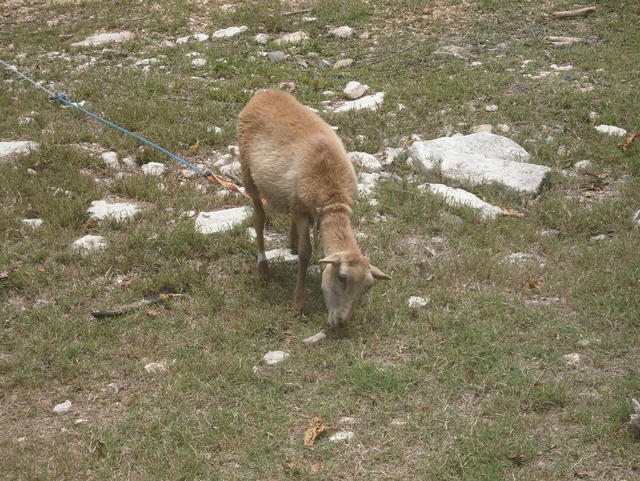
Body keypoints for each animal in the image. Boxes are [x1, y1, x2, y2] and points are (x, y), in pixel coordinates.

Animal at [237, 89, 391, 328]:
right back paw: (263, 269)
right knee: (259, 218)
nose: (342, 323)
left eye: (367, 288)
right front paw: (299, 303)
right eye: (342, 278)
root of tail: (266, 92)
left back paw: (290, 241)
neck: (333, 199)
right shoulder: (301, 211)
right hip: (247, 172)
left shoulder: (302, 207)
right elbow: (305, 253)